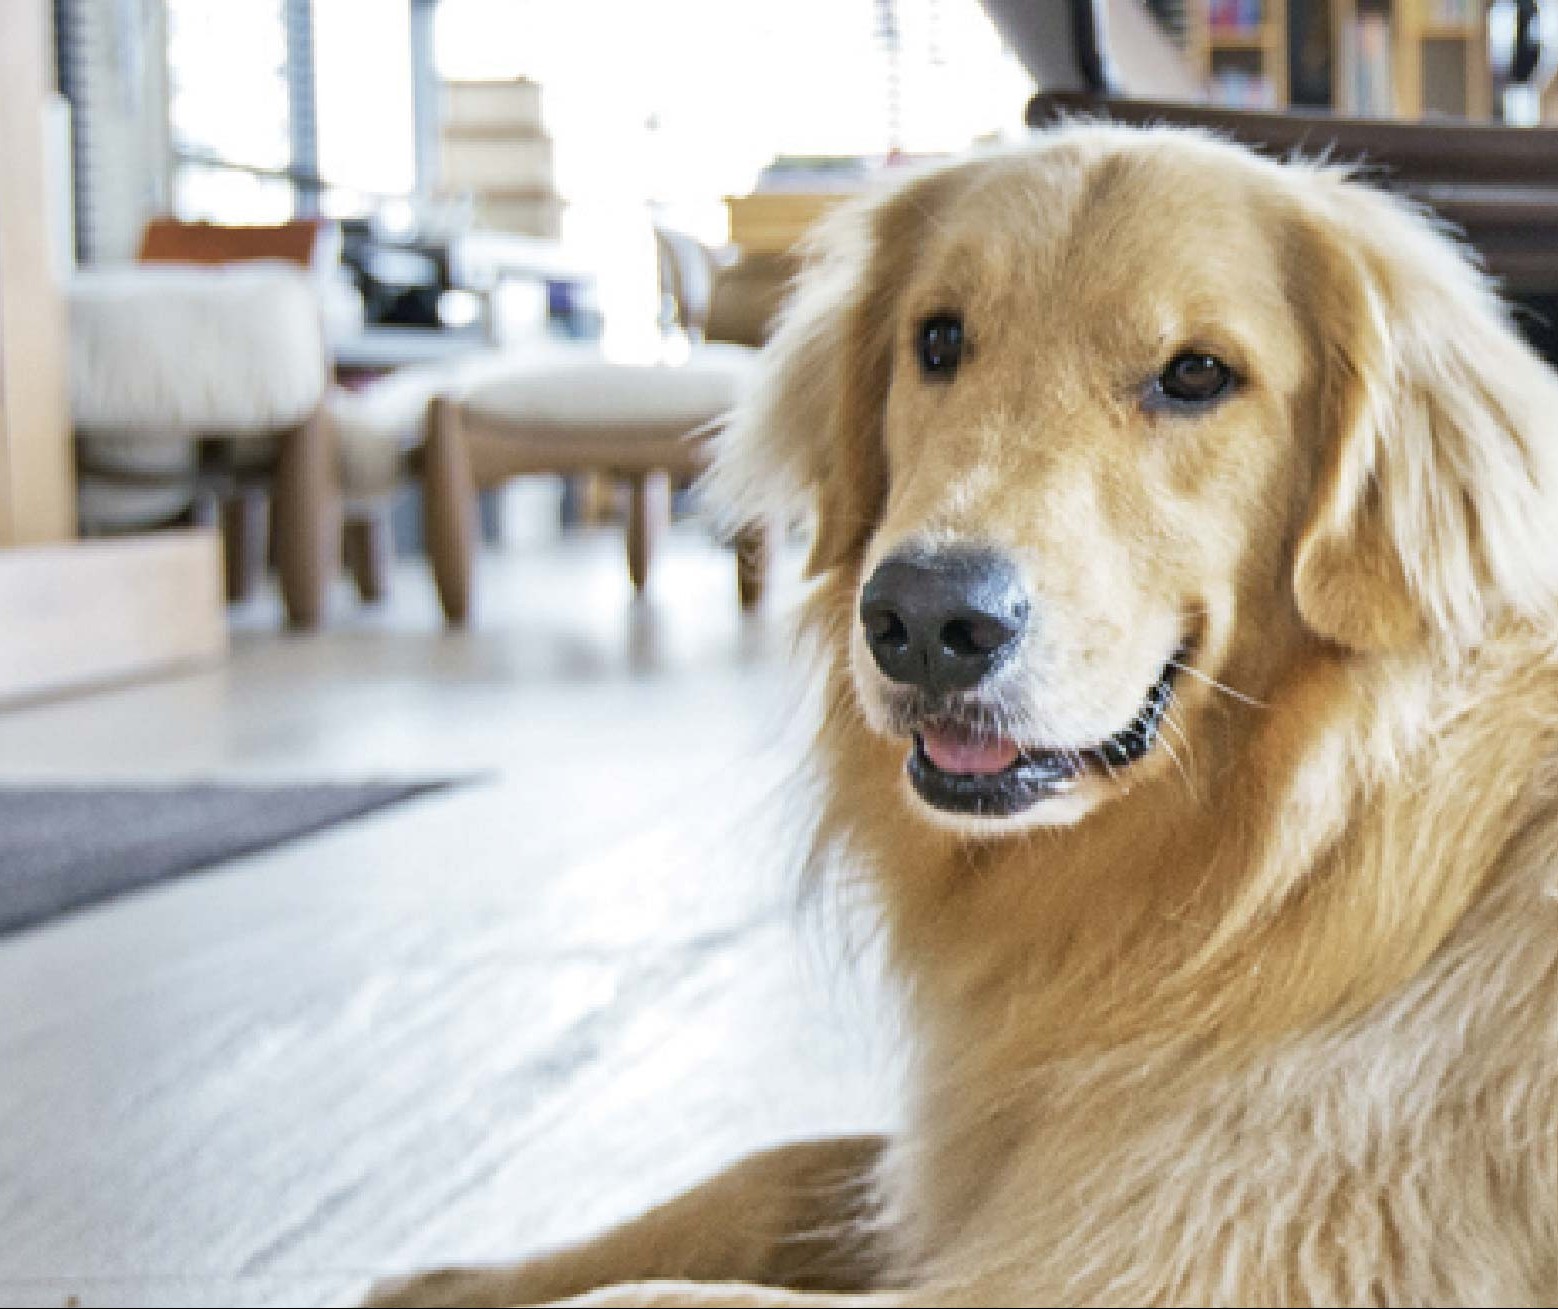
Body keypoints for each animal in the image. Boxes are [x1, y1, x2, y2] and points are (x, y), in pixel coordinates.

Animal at [367, 125, 1558, 1309]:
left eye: (1197, 374)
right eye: (937, 341)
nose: (927, 620)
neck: (1291, 844)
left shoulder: (1176, 1258)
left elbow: (657, 1294)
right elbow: (771, 1173)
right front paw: (454, 1278)